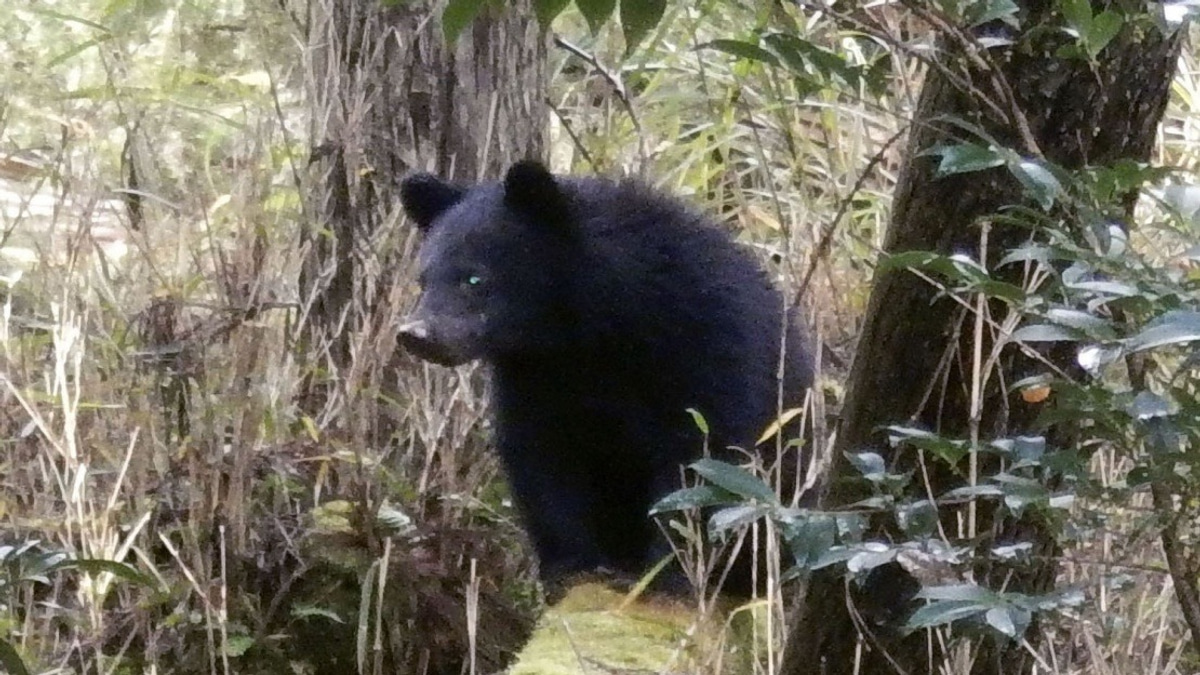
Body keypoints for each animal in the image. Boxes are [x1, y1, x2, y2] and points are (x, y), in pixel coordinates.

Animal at [397, 160, 814, 597]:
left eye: (475, 279)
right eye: (423, 279)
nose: (415, 335)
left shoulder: (705, 348)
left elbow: (700, 458)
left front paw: (665, 572)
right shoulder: (534, 379)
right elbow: (543, 459)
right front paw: (572, 567)